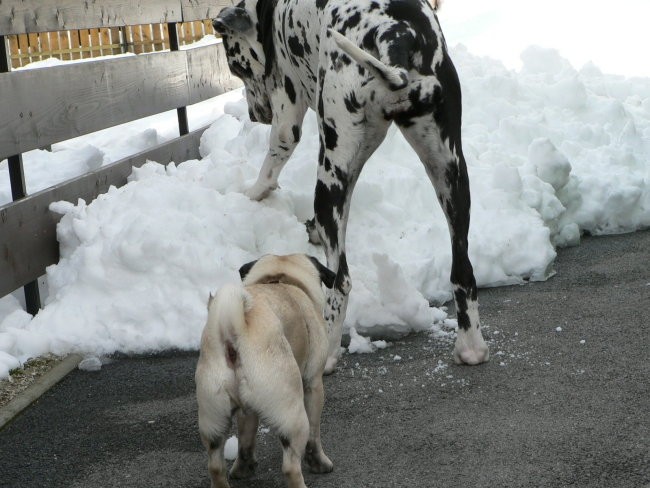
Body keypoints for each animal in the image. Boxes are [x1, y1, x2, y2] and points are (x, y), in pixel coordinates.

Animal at [213, 0, 486, 374]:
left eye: (237, 67)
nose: (256, 115)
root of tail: (395, 34)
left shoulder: (287, 112)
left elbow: (270, 166)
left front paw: (249, 194)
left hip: (332, 172)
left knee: (340, 280)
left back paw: (327, 351)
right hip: (450, 176)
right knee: (463, 272)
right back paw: (471, 346)